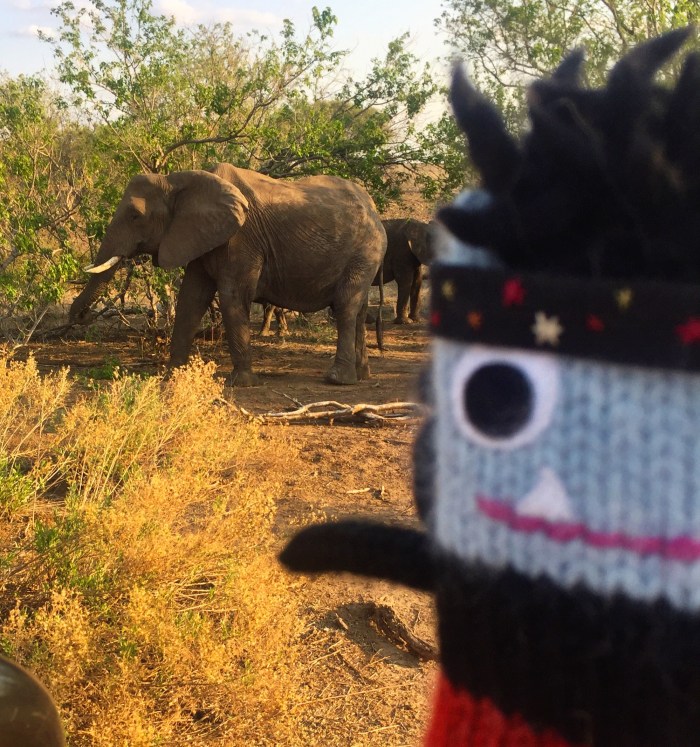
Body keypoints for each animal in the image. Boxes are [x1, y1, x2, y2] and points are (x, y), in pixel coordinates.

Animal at [70, 163, 387, 386]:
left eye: (135, 216)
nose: (80, 316)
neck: (177, 181)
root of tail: (374, 208)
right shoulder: (199, 235)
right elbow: (191, 299)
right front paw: (173, 375)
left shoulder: (240, 238)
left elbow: (232, 296)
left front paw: (241, 383)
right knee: (358, 309)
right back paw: (363, 375)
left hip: (365, 250)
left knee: (345, 307)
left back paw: (338, 379)